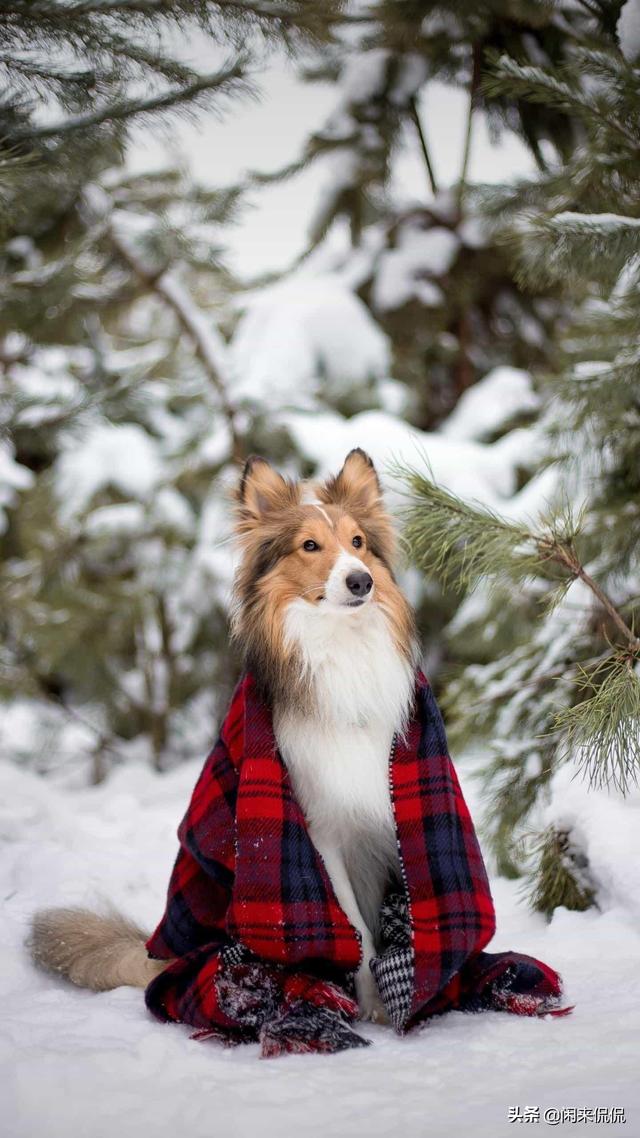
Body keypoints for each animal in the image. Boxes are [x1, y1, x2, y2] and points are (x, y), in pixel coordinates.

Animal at [29, 450, 419, 1024]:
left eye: (358, 542)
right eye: (309, 546)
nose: (361, 582)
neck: (341, 651)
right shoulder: (321, 828)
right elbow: (355, 928)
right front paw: (372, 1003)